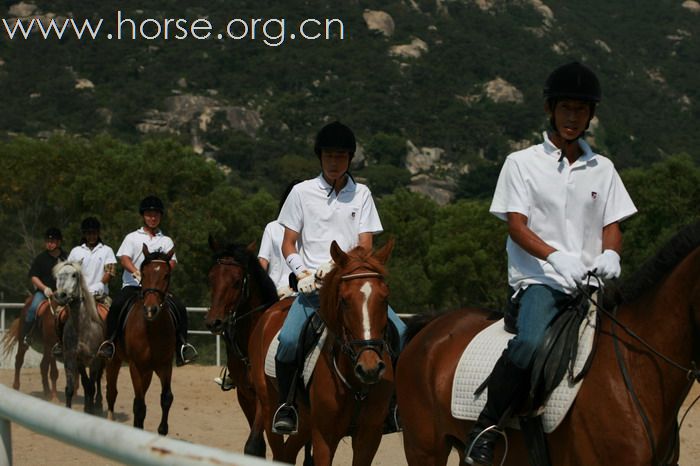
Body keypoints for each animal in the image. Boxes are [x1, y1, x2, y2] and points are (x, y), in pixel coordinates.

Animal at [106, 244, 179, 434]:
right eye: (144, 273)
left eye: (166, 275)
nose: (150, 310)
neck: (151, 330)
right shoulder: (136, 367)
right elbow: (139, 406)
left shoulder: (165, 366)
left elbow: (166, 398)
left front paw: (162, 430)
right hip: (114, 360)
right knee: (112, 392)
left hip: (148, 371)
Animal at [205, 233, 278, 456]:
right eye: (211, 278)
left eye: (237, 282)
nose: (214, 322)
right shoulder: (245, 395)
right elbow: (258, 445)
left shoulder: (265, 397)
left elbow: (253, 445)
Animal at [250, 238, 394, 464]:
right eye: (344, 300)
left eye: (385, 298)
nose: (369, 368)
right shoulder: (324, 436)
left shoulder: (369, 436)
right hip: (269, 407)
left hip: (305, 420)